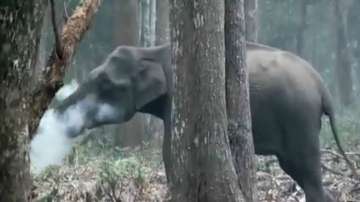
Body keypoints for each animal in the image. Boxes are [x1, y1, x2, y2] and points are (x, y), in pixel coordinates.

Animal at [56, 41, 352, 201]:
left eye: (105, 83)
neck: (151, 51)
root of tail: (322, 86)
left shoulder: (178, 94)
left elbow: (170, 151)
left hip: (299, 118)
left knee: (303, 169)